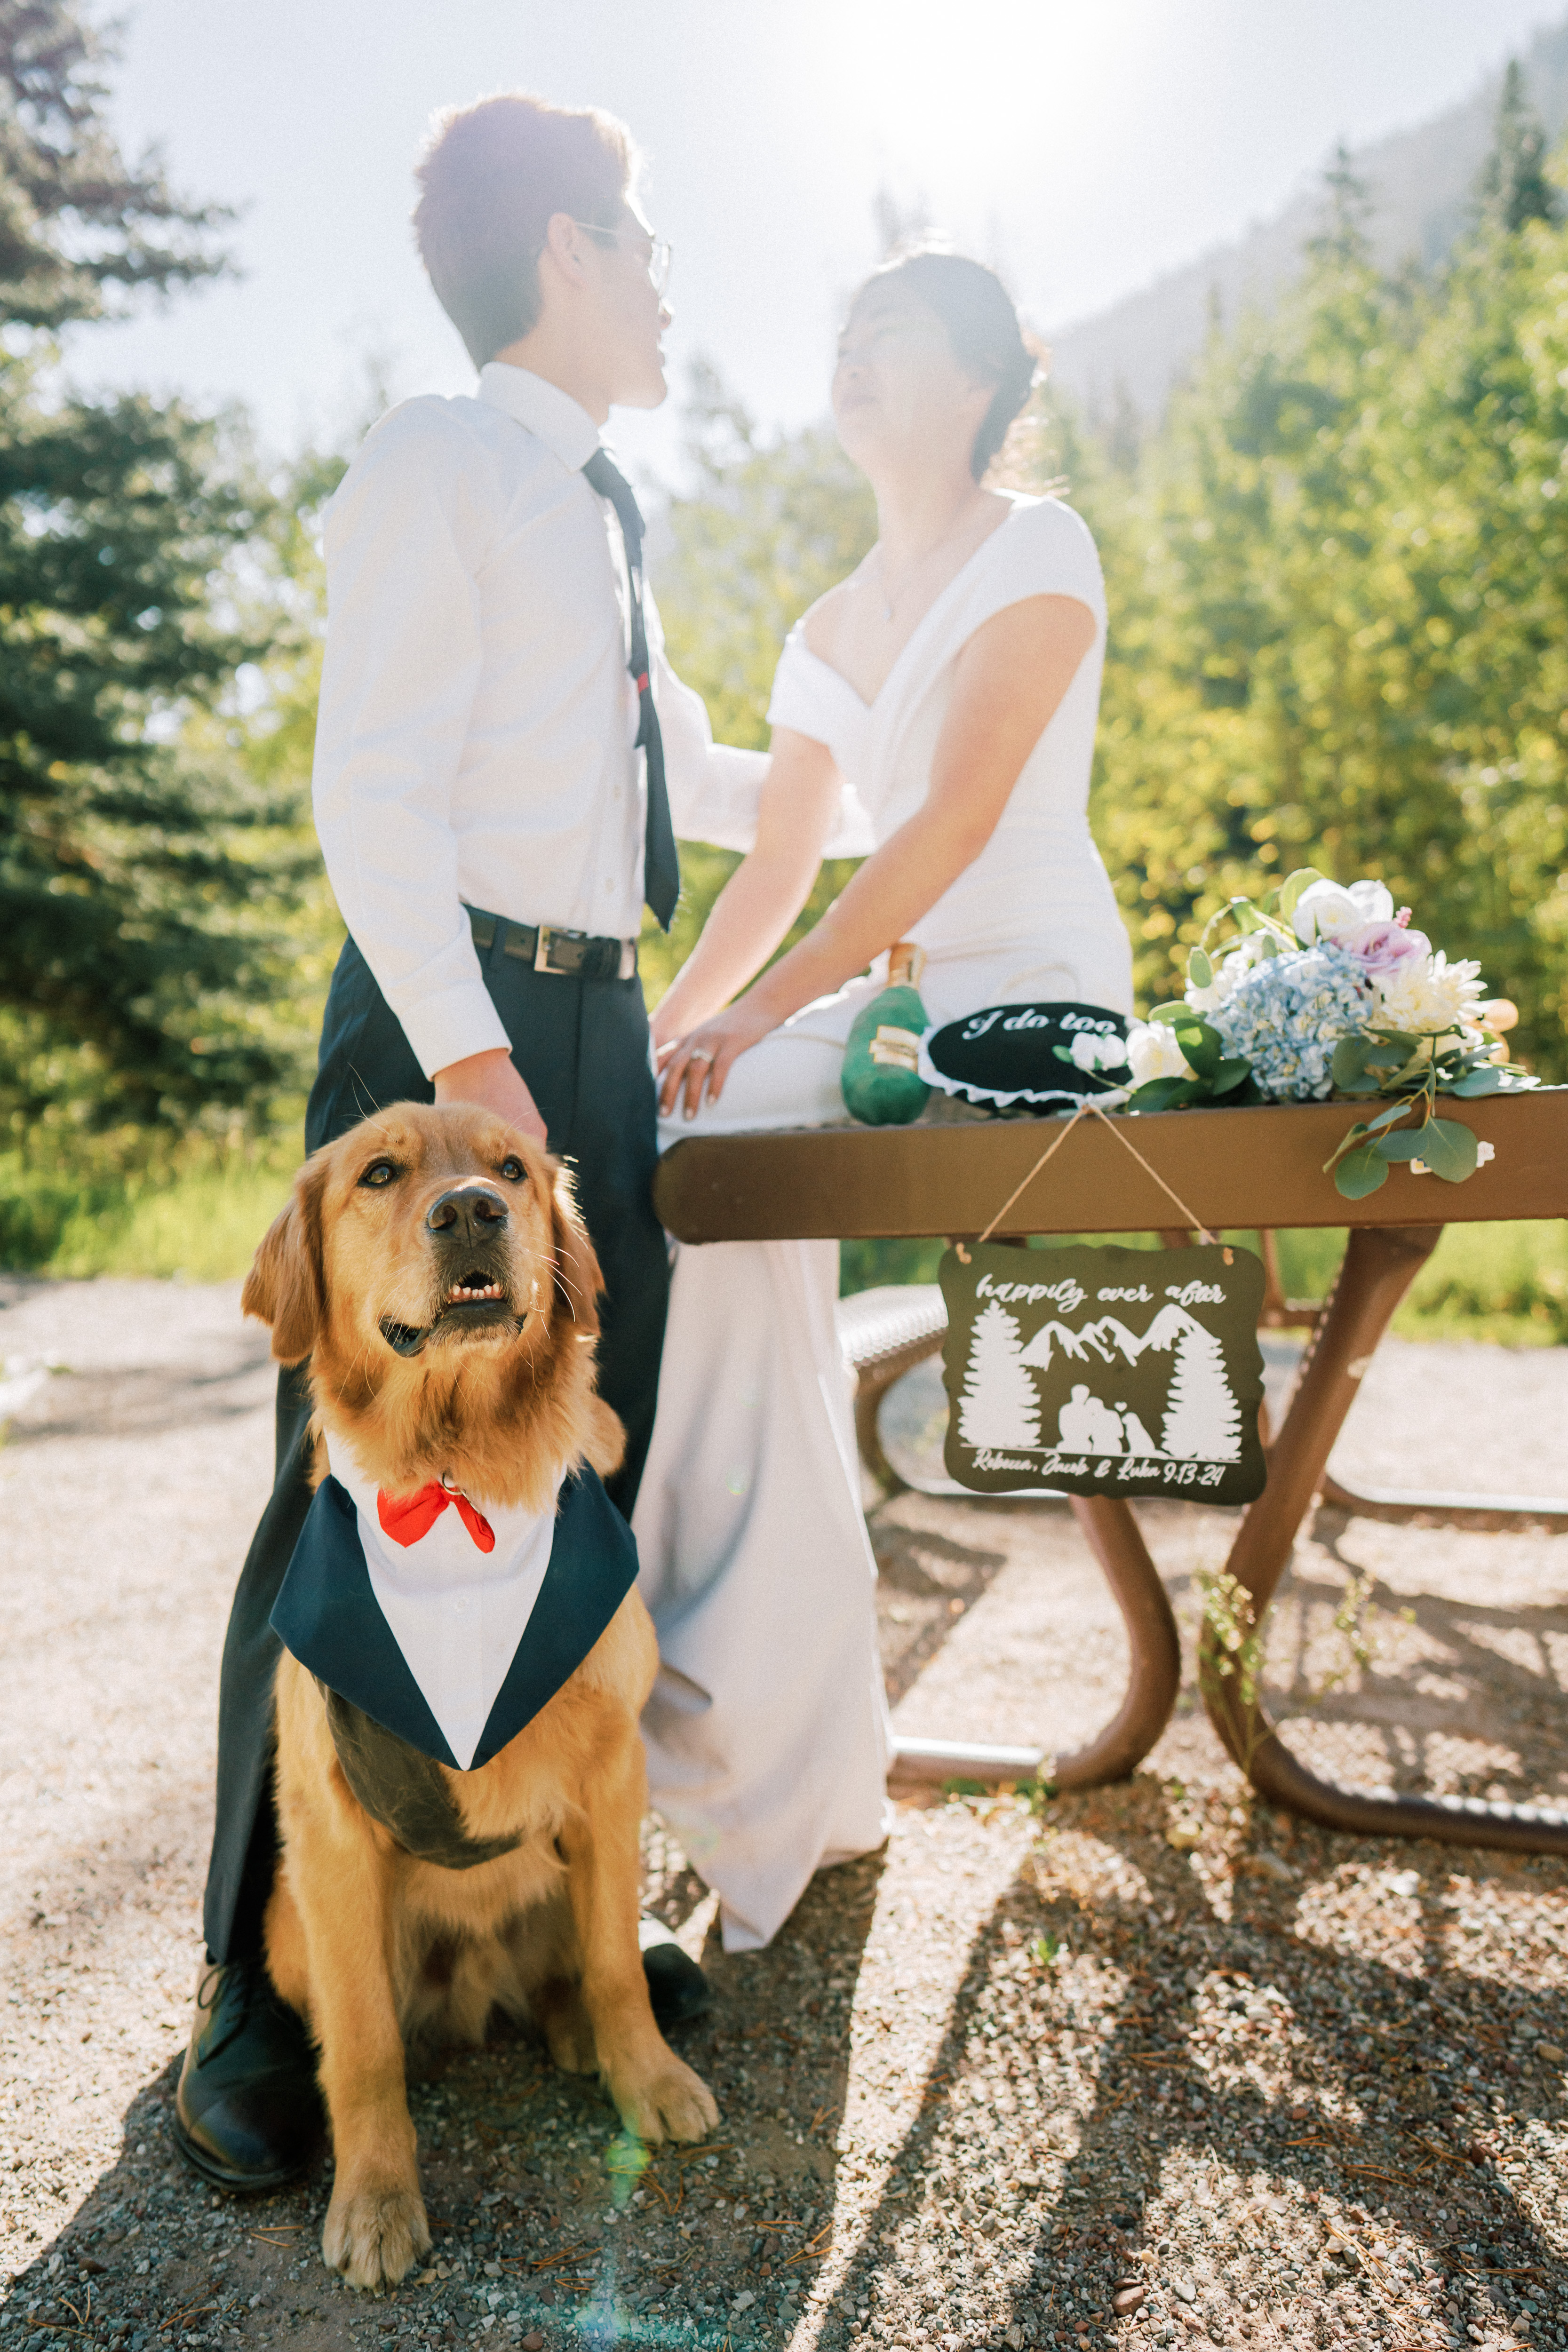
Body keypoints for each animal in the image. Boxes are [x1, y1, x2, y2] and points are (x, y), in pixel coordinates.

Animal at [243, 1105, 719, 2296]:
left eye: (510, 1167)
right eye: (379, 1173)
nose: (471, 1211)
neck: (458, 1482)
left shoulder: (612, 1771)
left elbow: (612, 1964)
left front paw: (646, 2077)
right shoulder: (328, 1828)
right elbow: (364, 2045)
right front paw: (375, 2200)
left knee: (576, 1965)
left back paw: (580, 2034)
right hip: (286, 1924)